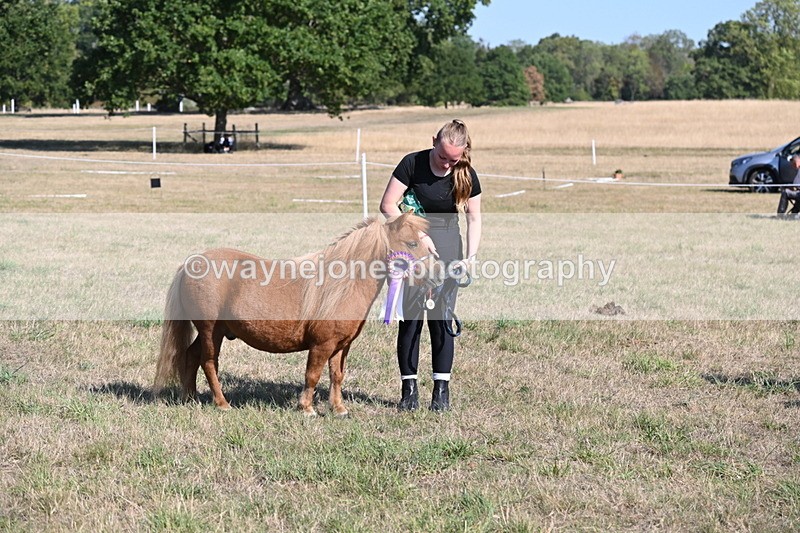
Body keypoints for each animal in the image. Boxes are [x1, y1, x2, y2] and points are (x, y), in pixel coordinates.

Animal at [153, 213, 429, 416]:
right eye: (412, 243)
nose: (433, 275)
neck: (342, 285)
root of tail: (191, 264)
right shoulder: (321, 345)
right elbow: (312, 375)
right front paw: (306, 408)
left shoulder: (341, 346)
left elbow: (337, 375)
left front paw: (338, 409)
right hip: (211, 330)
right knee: (209, 362)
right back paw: (221, 403)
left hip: (212, 331)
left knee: (191, 356)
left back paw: (190, 398)